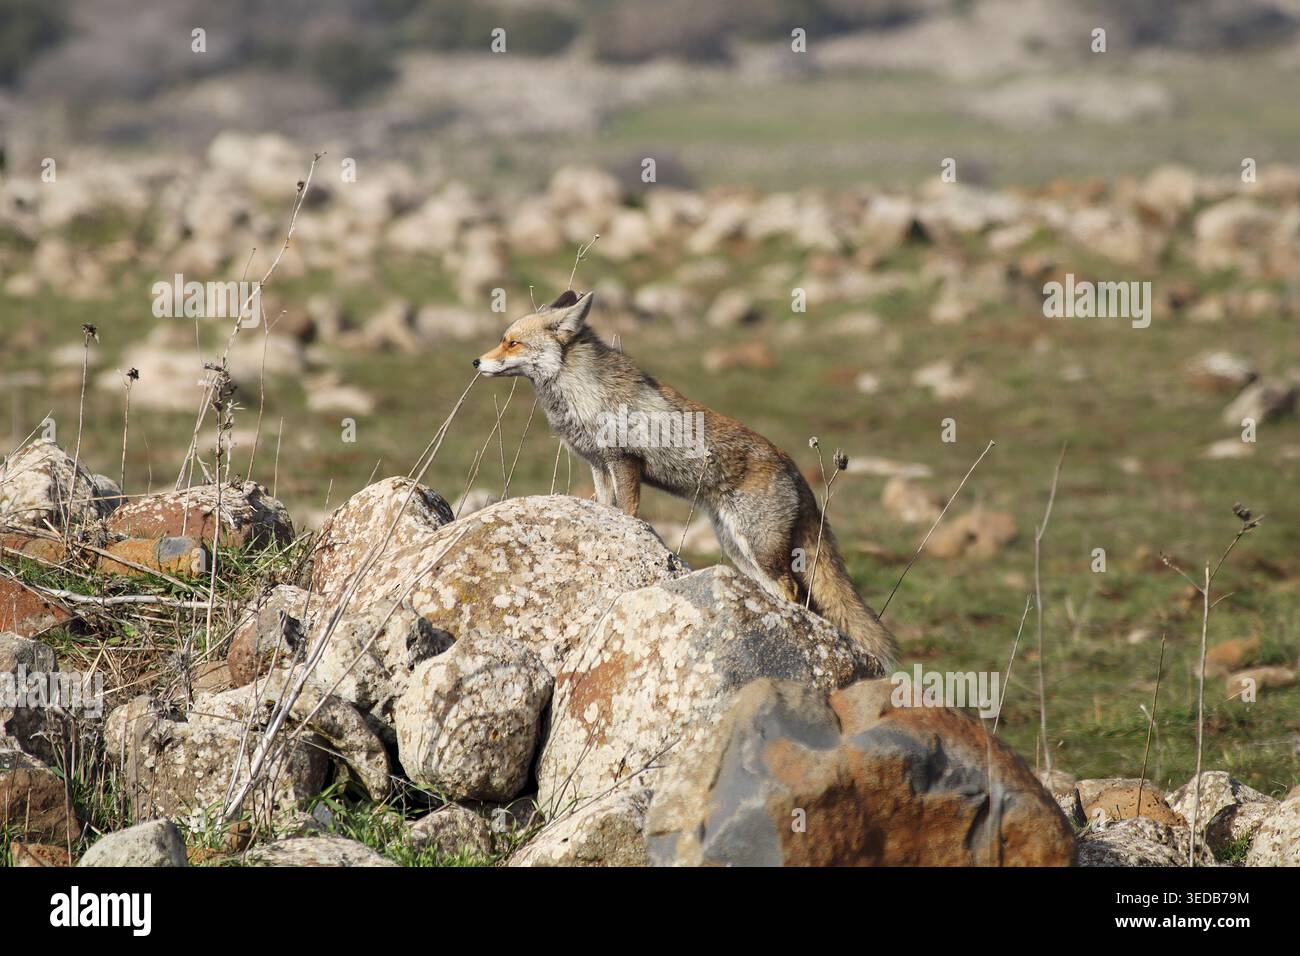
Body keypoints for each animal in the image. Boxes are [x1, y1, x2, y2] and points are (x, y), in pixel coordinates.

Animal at [474, 289, 898, 673]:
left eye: (512, 342)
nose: (476, 361)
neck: (581, 392)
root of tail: (792, 466)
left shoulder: (624, 461)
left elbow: (627, 511)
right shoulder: (598, 464)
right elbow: (604, 505)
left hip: (759, 547)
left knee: (795, 591)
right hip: (739, 551)